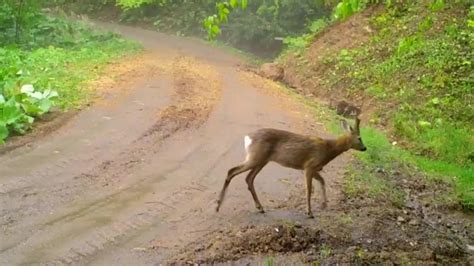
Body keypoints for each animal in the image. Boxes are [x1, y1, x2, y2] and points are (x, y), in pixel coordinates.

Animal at [215, 117, 366, 217]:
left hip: (262, 160)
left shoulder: (314, 168)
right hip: (255, 157)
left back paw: (260, 207)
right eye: (359, 138)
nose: (365, 148)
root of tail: (247, 137)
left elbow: (323, 181)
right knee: (232, 171)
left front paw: (324, 205)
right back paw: (218, 205)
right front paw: (309, 212)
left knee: (249, 178)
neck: (328, 149)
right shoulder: (309, 166)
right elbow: (309, 190)